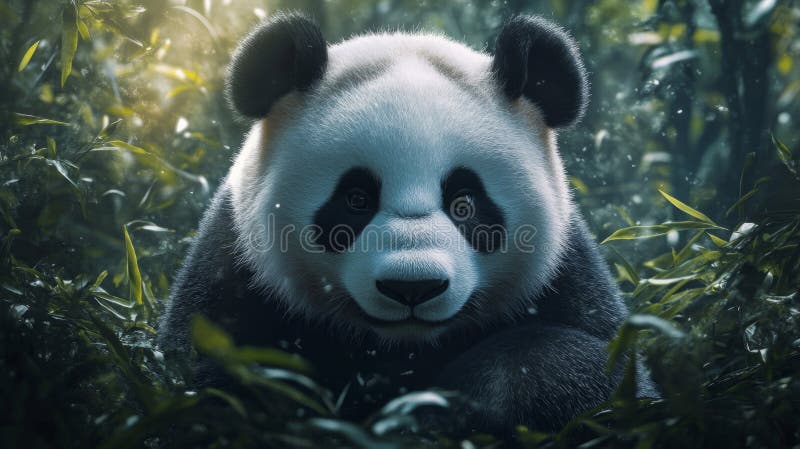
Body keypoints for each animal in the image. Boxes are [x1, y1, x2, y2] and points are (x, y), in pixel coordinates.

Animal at [159, 12, 657, 434]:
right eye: (356, 200)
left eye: (464, 204)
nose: (413, 287)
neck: (401, 347)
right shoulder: (235, 274)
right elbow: (220, 382)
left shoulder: (566, 278)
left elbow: (585, 369)